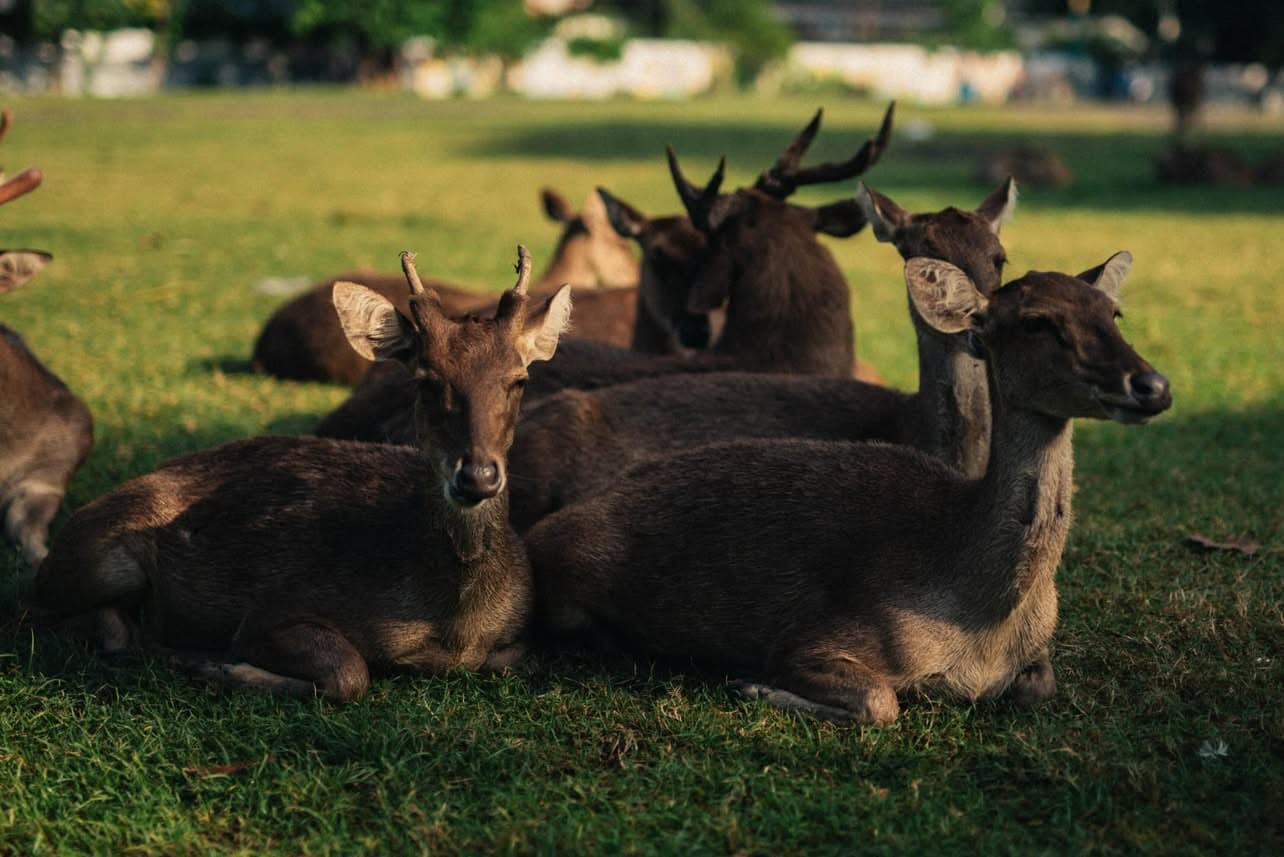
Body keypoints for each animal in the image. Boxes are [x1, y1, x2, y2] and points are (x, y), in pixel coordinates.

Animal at [32, 247, 572, 702]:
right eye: (425, 379)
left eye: (519, 379)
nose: (476, 476)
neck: (454, 625)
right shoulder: (273, 610)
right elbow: (351, 673)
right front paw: (219, 666)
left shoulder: (519, 632)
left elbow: (507, 659)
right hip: (103, 555)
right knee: (65, 616)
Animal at [525, 252, 1172, 724]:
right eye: (1037, 321)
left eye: (1113, 313)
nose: (1152, 385)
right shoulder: (822, 636)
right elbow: (881, 702)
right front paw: (753, 686)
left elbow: (1041, 686)